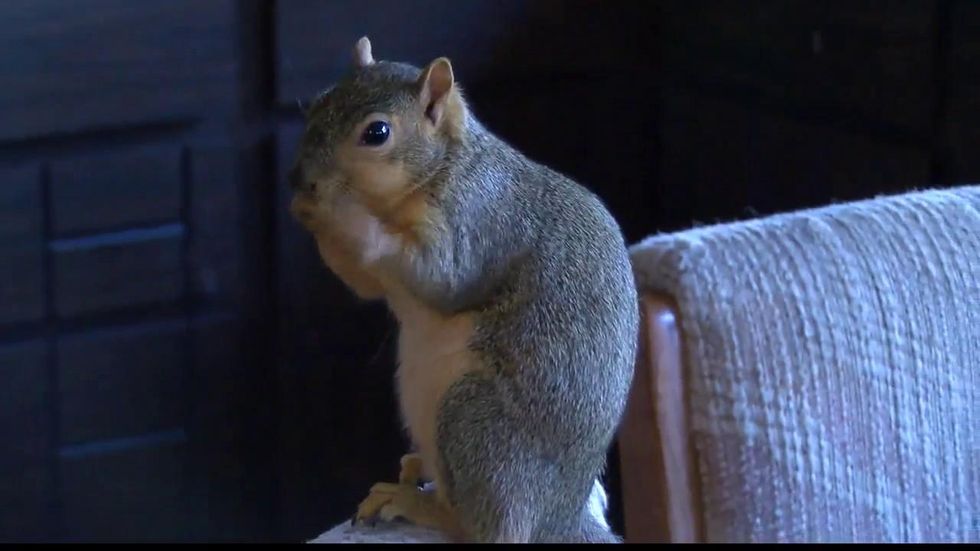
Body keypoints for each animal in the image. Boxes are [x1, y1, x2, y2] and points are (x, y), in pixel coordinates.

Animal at [288, 37, 640, 544]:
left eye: (377, 133)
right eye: (319, 101)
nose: (300, 180)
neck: (445, 166)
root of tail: (560, 518)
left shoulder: (481, 219)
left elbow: (443, 274)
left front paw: (339, 212)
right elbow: (367, 283)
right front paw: (308, 211)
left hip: (474, 423)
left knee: (483, 526)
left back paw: (418, 505)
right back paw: (415, 470)